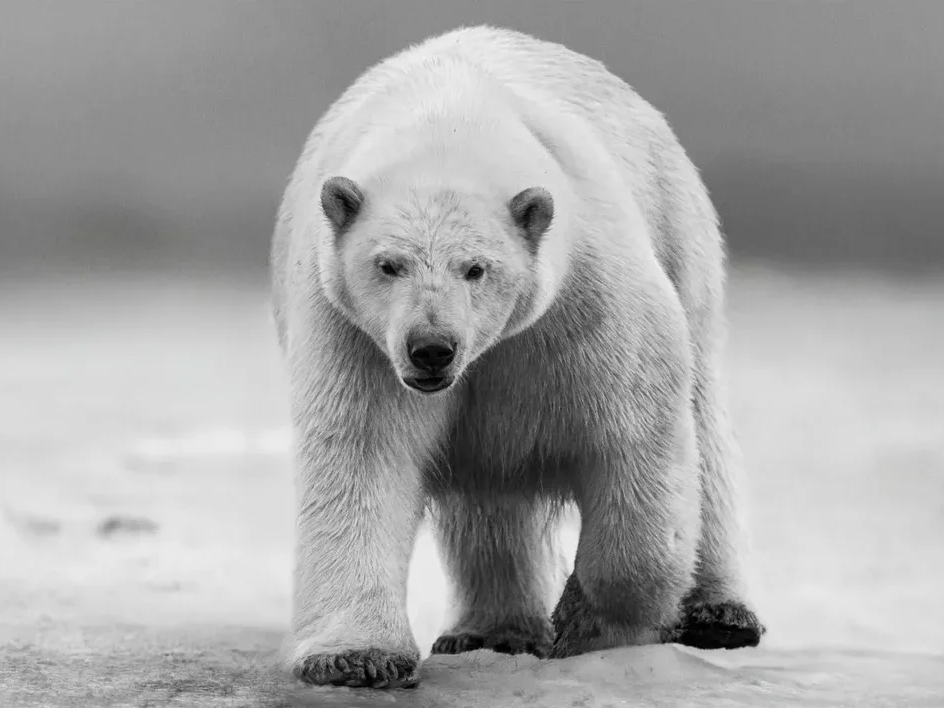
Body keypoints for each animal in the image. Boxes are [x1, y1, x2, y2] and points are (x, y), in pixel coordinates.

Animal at [270, 25, 765, 689]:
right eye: (388, 264)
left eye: (476, 268)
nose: (432, 348)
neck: (448, 119)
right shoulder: (353, 332)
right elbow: (363, 456)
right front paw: (355, 658)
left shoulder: (587, 294)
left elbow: (636, 437)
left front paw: (583, 624)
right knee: (488, 497)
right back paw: (488, 631)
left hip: (680, 230)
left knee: (704, 422)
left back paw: (720, 615)